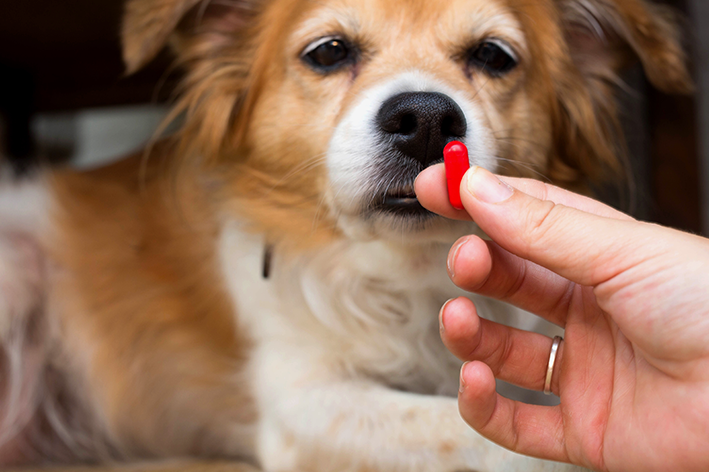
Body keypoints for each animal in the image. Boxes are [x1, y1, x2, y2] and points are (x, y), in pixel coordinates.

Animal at [0, 0, 688, 470]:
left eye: (494, 56)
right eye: (328, 52)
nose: (425, 118)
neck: (407, 270)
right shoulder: (302, 403)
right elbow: (474, 435)